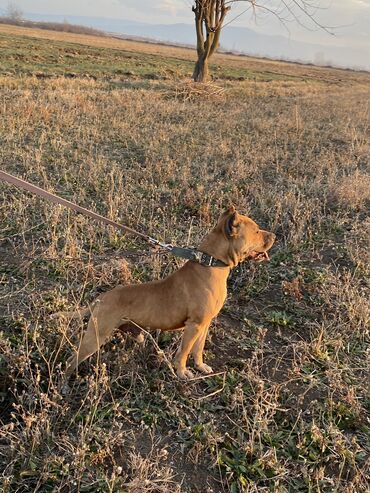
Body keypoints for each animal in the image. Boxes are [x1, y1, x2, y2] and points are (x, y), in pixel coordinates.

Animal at [61, 206, 274, 378]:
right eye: (257, 231)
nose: (273, 236)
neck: (210, 263)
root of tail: (101, 298)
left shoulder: (204, 325)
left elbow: (198, 349)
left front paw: (201, 367)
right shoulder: (194, 326)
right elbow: (184, 352)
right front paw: (182, 372)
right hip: (95, 337)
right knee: (72, 359)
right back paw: (66, 382)